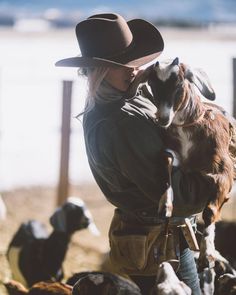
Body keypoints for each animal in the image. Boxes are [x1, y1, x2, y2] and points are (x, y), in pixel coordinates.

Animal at [127, 57, 236, 276]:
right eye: (152, 85)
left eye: (178, 84)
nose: (162, 118)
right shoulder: (170, 152)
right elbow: (166, 165)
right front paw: (166, 203)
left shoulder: (224, 172)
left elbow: (210, 211)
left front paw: (206, 254)